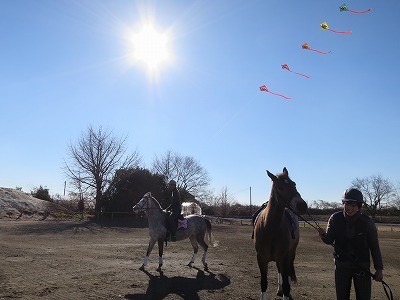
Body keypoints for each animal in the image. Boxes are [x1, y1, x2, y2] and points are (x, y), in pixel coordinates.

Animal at [255, 168, 308, 298]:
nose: (302, 205)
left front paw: (286, 292)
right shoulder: (261, 259)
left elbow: (286, 284)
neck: (270, 228)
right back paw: (279, 290)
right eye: (280, 187)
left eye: (294, 184)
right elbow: (263, 283)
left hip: (291, 254)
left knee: (287, 273)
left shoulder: (284, 257)